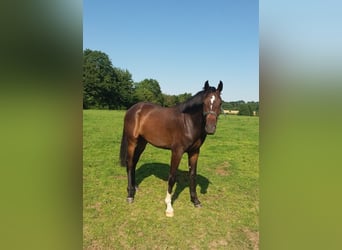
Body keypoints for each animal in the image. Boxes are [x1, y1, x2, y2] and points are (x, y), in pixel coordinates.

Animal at [119, 81, 223, 216]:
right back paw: (130, 194)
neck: (188, 122)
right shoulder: (177, 152)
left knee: (134, 163)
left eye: (220, 103)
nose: (210, 128)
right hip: (132, 142)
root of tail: (133, 109)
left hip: (142, 143)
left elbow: (192, 175)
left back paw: (134, 186)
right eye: (204, 103)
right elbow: (172, 177)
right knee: (130, 163)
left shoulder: (194, 152)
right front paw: (169, 207)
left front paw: (195, 201)